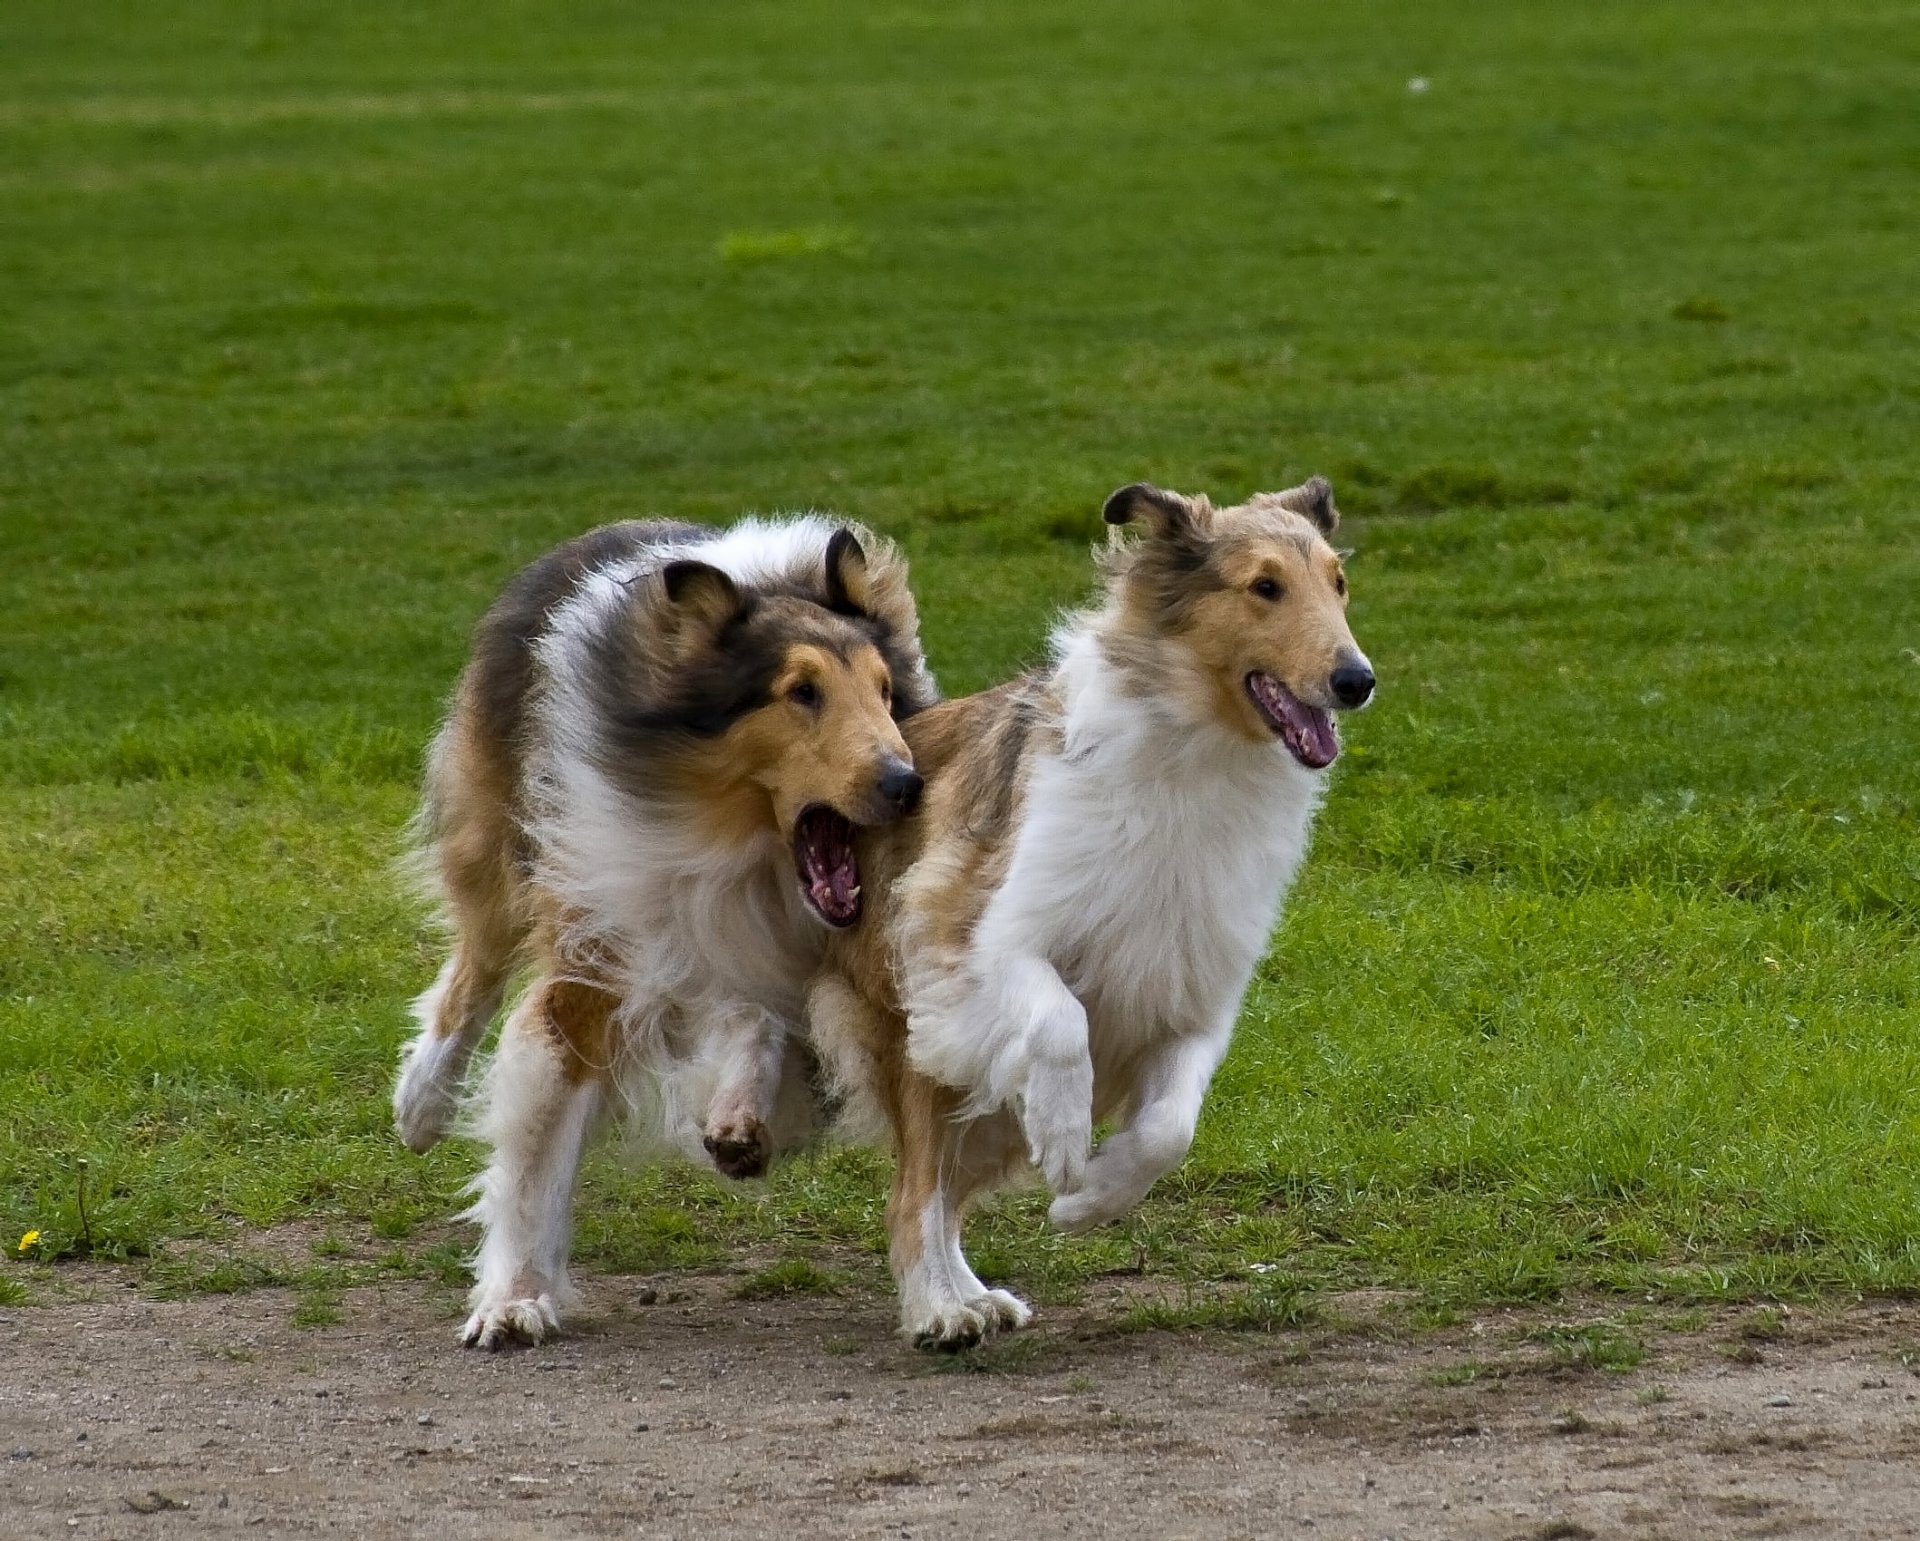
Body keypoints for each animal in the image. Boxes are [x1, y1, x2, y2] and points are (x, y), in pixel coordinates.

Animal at [389, 510, 929, 1343]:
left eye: (884, 689)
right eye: (801, 691)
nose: (908, 784)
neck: (736, 849)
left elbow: (768, 1019)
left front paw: (741, 1114)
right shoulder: (593, 953)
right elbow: (537, 1144)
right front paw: (514, 1298)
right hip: (504, 848)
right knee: (472, 972)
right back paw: (421, 1103)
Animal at [806, 481, 1367, 1351]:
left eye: (1338, 583)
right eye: (1265, 585)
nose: (1357, 679)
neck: (1193, 763)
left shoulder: (1195, 1001)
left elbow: (1171, 1128)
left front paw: (1087, 1197)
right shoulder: (980, 936)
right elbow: (1060, 1019)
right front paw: (1066, 1142)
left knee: (947, 1194)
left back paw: (975, 1294)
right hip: (919, 1029)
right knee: (916, 1195)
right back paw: (940, 1309)